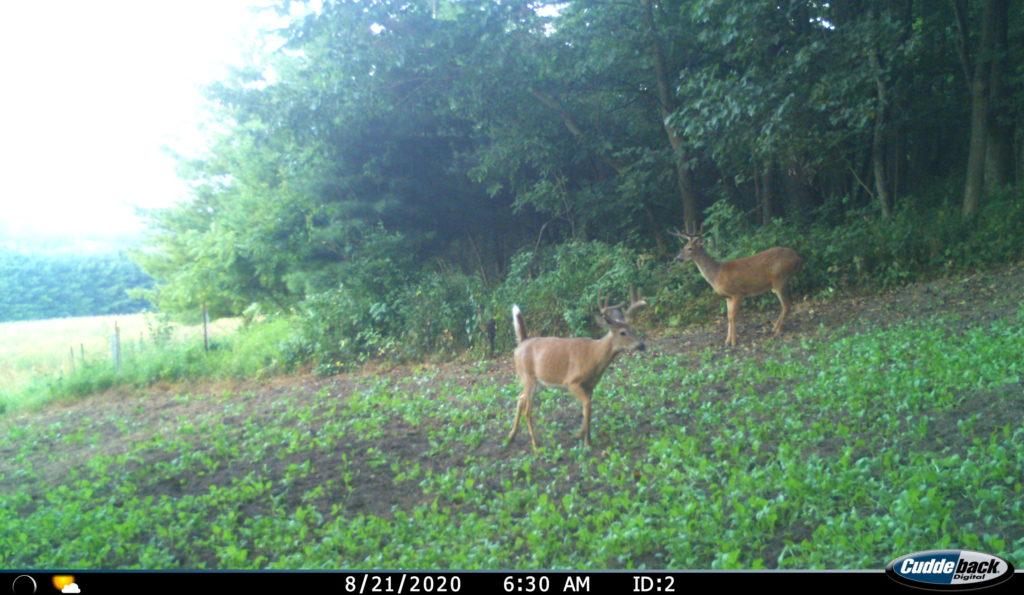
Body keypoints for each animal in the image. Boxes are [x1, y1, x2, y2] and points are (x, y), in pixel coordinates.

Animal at [505, 286, 647, 450]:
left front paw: (586, 438)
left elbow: (587, 409)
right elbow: (587, 406)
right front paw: (583, 438)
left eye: (634, 329)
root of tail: (521, 343)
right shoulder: (571, 382)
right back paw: (535, 444)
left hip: (533, 381)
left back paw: (511, 436)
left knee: (520, 398)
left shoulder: (590, 385)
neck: (593, 356)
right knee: (528, 410)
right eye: (622, 332)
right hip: (528, 378)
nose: (642, 345)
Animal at [671, 224, 806, 346]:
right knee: (787, 304)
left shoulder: (737, 293)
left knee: (787, 304)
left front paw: (734, 342)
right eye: (683, 246)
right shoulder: (728, 297)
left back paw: (777, 330)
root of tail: (798, 257)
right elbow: (728, 317)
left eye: (690, 248)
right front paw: (727, 341)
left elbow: (733, 316)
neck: (716, 274)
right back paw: (774, 327)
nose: (678, 258)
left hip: (779, 279)